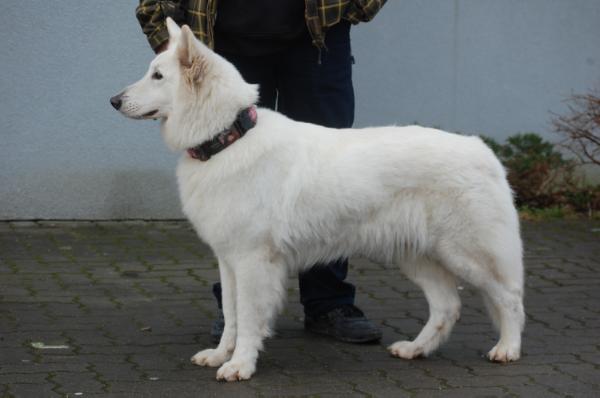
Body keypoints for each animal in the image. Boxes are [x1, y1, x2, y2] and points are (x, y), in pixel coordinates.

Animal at [112, 18, 524, 382]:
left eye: (158, 76)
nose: (114, 101)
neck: (229, 137)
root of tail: (482, 149)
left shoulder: (252, 261)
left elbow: (248, 319)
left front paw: (240, 365)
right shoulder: (228, 261)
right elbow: (230, 314)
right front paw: (220, 355)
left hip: (468, 255)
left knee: (509, 298)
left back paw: (507, 349)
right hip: (417, 255)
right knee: (447, 307)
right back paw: (416, 349)